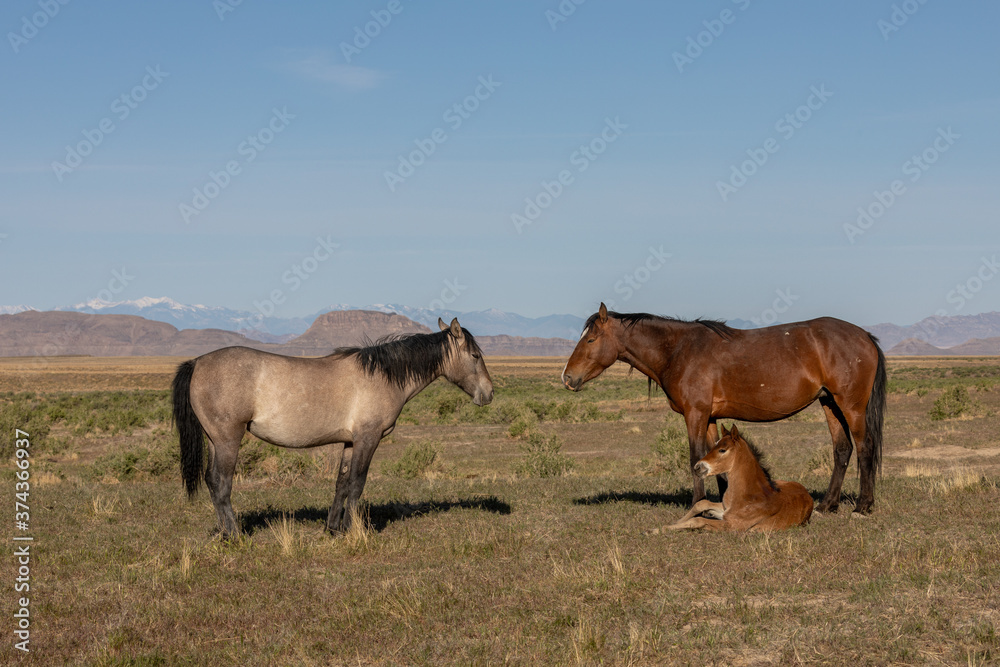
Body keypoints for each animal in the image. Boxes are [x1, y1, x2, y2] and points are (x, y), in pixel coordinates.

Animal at [178, 320, 498, 536]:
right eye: (475, 356)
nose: (489, 393)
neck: (383, 376)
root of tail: (198, 362)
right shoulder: (368, 438)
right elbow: (357, 483)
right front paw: (354, 530)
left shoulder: (350, 442)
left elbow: (342, 484)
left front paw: (333, 528)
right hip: (228, 440)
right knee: (222, 483)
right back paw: (234, 534)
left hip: (214, 440)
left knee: (212, 481)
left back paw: (223, 532)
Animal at [568, 304, 888, 516]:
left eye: (591, 339)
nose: (567, 377)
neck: (679, 351)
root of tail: (864, 336)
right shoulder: (710, 417)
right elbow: (715, 462)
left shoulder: (695, 414)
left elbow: (695, 458)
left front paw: (697, 505)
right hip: (829, 403)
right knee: (842, 450)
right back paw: (827, 505)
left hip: (851, 406)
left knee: (865, 448)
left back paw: (863, 506)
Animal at [664, 428, 812, 532]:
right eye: (714, 445)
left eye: (722, 450)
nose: (697, 467)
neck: (749, 496)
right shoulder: (725, 510)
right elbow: (701, 504)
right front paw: (676, 522)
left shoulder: (733, 525)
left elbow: (699, 521)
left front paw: (661, 529)